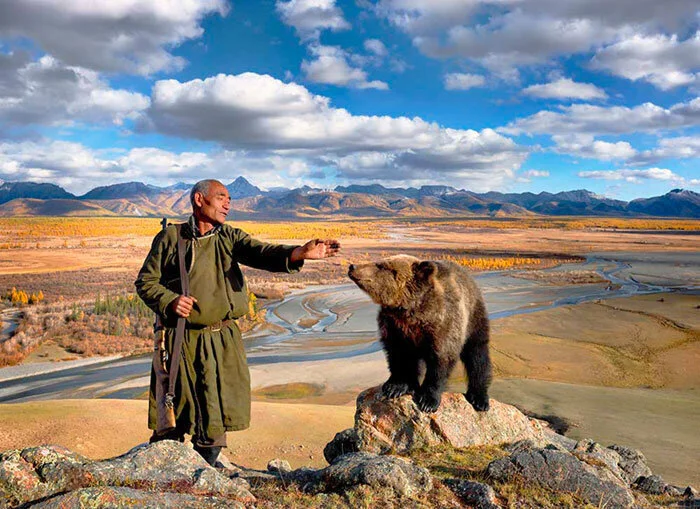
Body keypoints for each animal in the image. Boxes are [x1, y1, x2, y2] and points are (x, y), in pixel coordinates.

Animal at [348, 254, 492, 413]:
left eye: (381, 265)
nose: (352, 266)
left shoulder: (443, 324)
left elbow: (440, 360)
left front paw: (428, 400)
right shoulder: (394, 327)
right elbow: (397, 355)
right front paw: (395, 386)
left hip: (474, 318)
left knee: (477, 355)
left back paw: (479, 398)